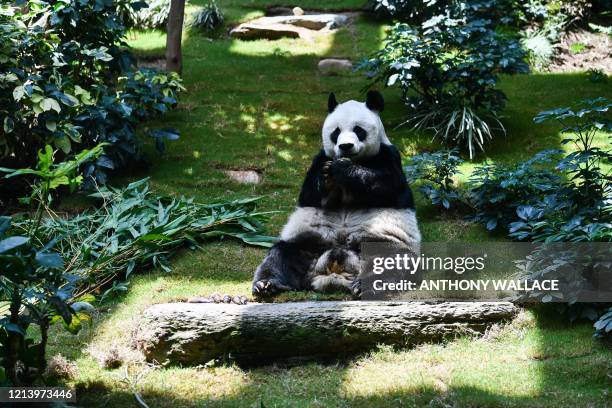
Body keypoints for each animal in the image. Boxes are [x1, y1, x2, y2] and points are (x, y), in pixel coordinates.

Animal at [251, 91, 418, 298]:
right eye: (336, 132)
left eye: (358, 130)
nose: (345, 146)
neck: (356, 159)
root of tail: (333, 274)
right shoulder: (319, 159)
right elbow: (310, 194)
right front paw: (327, 178)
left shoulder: (389, 156)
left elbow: (388, 186)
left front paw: (343, 169)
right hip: (308, 245)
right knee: (281, 255)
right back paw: (266, 285)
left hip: (381, 243)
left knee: (393, 261)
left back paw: (366, 287)